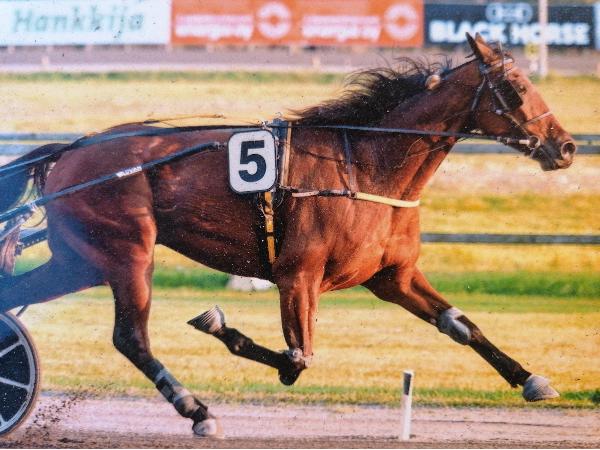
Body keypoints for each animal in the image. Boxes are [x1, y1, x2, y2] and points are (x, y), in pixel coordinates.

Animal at [0, 34, 576, 437]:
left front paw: (532, 379)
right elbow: (298, 360)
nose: (566, 147)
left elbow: (461, 325)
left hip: (81, 260)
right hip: (128, 253)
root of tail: (69, 151)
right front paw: (218, 323)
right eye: (516, 89)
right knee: (131, 337)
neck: (365, 165)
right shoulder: (298, 275)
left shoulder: (393, 275)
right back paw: (197, 409)